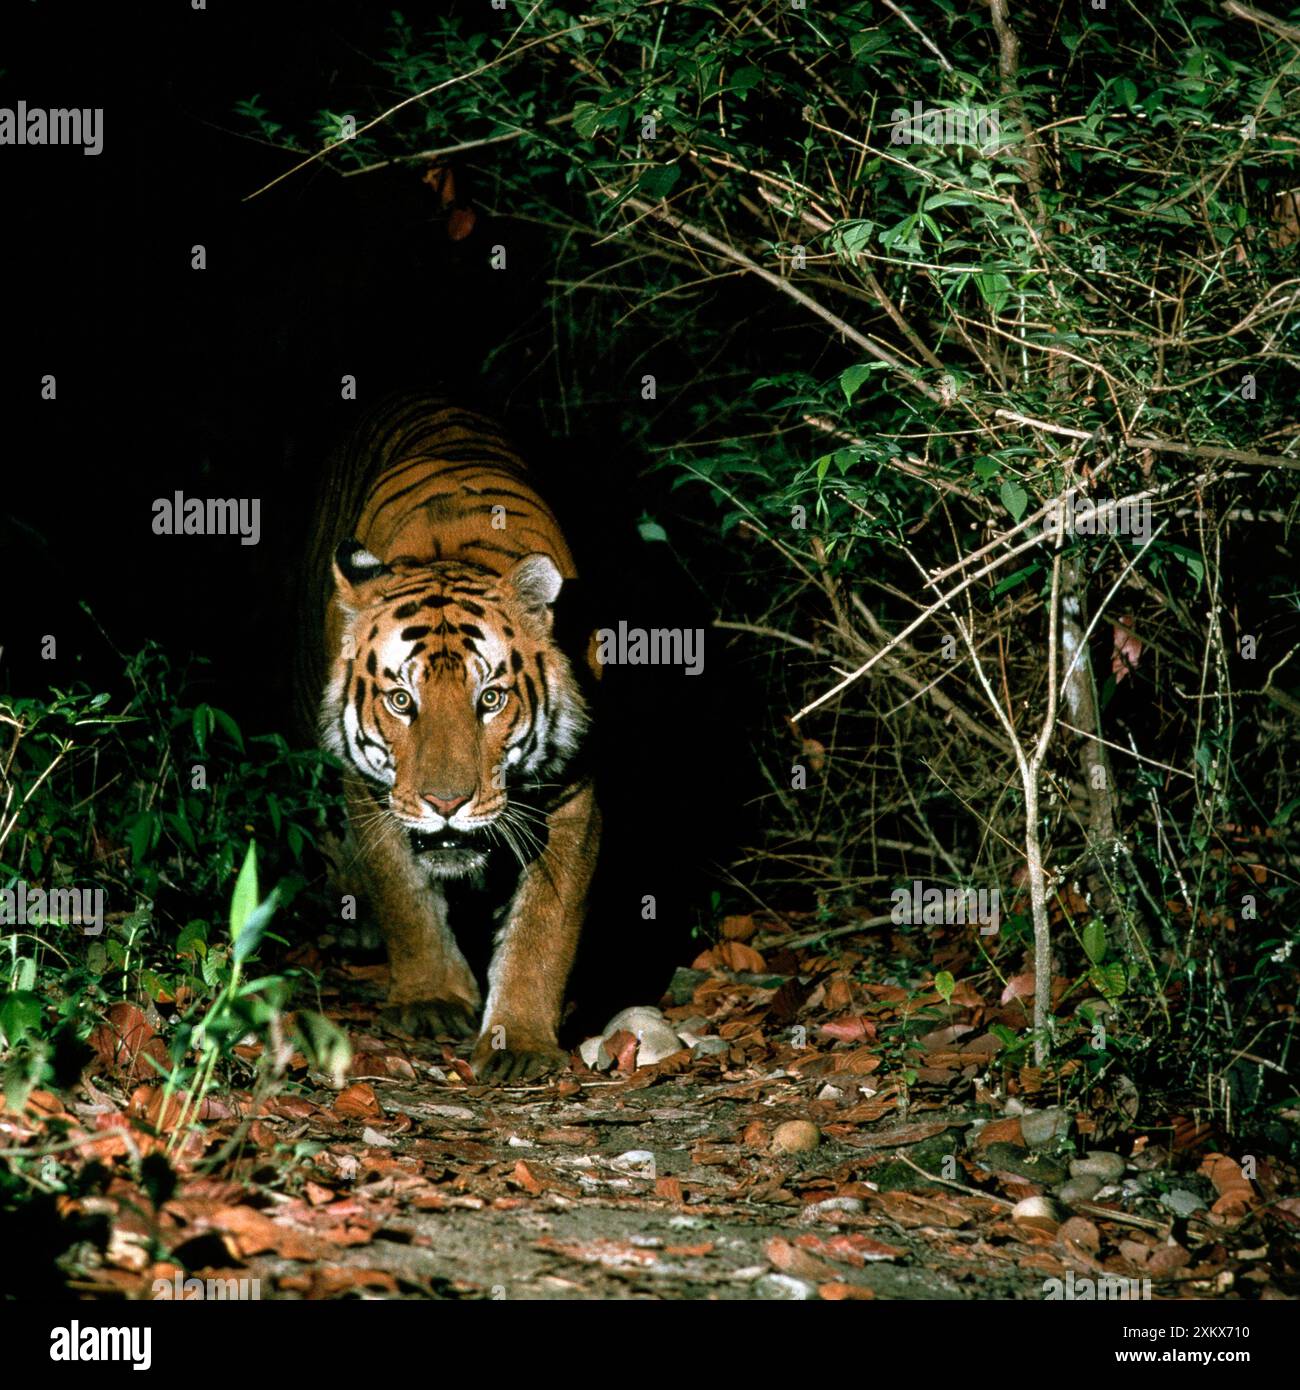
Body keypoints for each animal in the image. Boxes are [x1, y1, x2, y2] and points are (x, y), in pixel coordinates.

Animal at [304, 391, 606, 1084]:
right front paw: (432, 1000)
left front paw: (518, 1039)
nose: (446, 804)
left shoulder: (573, 794)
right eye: (401, 700)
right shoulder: (368, 790)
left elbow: (543, 929)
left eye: (489, 699)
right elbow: (406, 899)